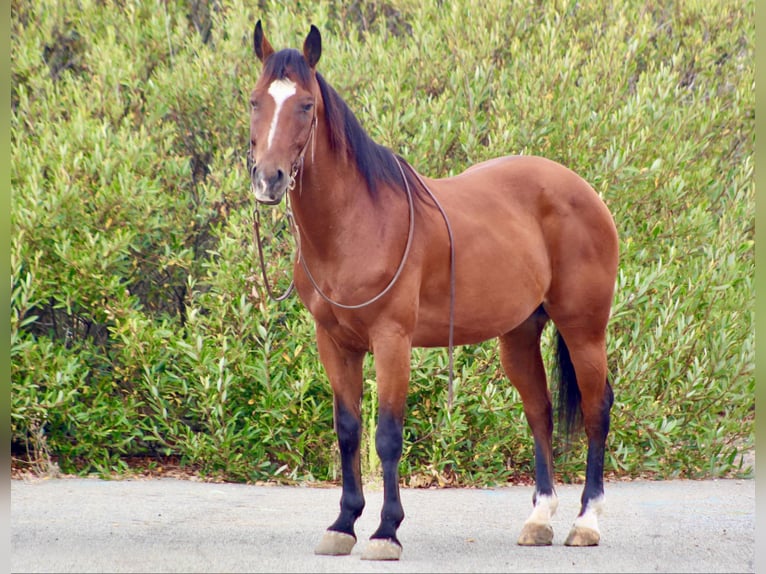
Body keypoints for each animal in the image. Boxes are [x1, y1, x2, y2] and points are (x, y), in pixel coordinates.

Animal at [247, 21, 619, 561]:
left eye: (306, 105)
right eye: (255, 100)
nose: (269, 179)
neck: (357, 221)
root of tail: (584, 192)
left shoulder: (391, 340)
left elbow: (386, 434)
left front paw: (386, 531)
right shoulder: (334, 343)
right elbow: (348, 431)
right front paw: (343, 524)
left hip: (583, 329)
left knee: (596, 410)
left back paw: (586, 522)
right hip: (518, 336)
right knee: (540, 412)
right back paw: (539, 518)